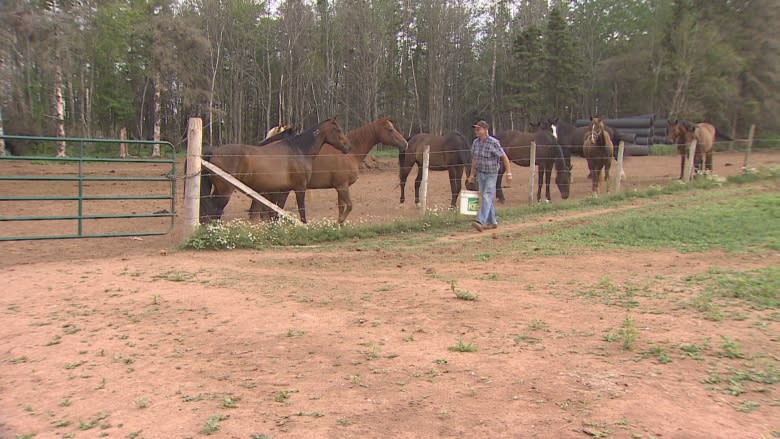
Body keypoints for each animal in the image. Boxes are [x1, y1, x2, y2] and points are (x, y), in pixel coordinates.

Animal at [198, 119, 350, 225]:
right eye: (338, 130)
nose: (347, 147)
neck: (298, 150)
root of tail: (214, 152)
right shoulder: (300, 188)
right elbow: (301, 210)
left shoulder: (283, 190)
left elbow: (278, 211)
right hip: (225, 191)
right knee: (215, 211)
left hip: (219, 190)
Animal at [253, 117, 408, 223]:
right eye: (390, 130)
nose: (405, 143)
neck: (350, 154)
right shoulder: (343, 186)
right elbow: (349, 206)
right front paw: (338, 223)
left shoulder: (340, 187)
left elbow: (341, 207)